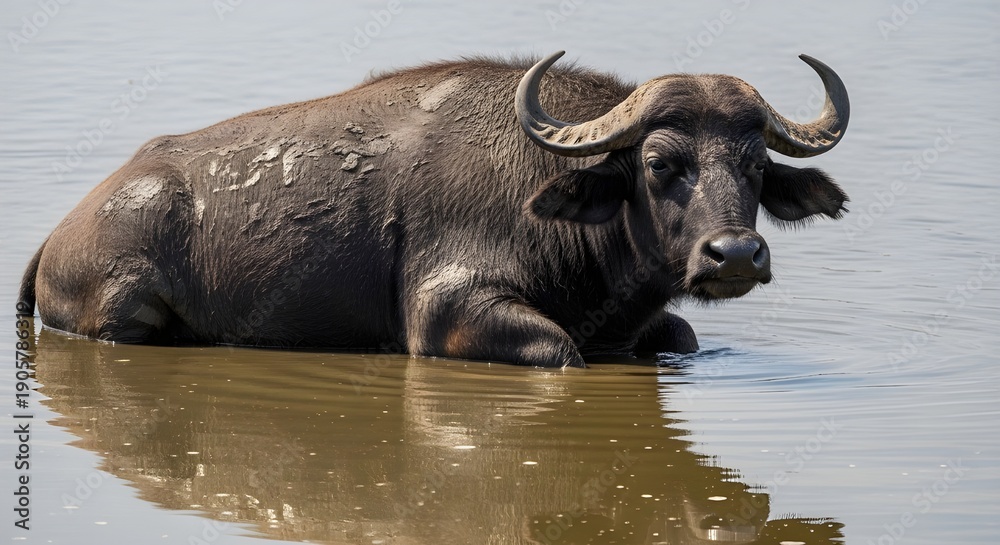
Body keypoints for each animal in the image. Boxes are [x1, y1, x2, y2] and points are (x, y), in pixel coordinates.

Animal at [19, 51, 850, 367]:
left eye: (755, 165)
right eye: (659, 164)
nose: (734, 254)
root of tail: (60, 230)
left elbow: (682, 335)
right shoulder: (449, 313)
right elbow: (563, 351)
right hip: (122, 310)